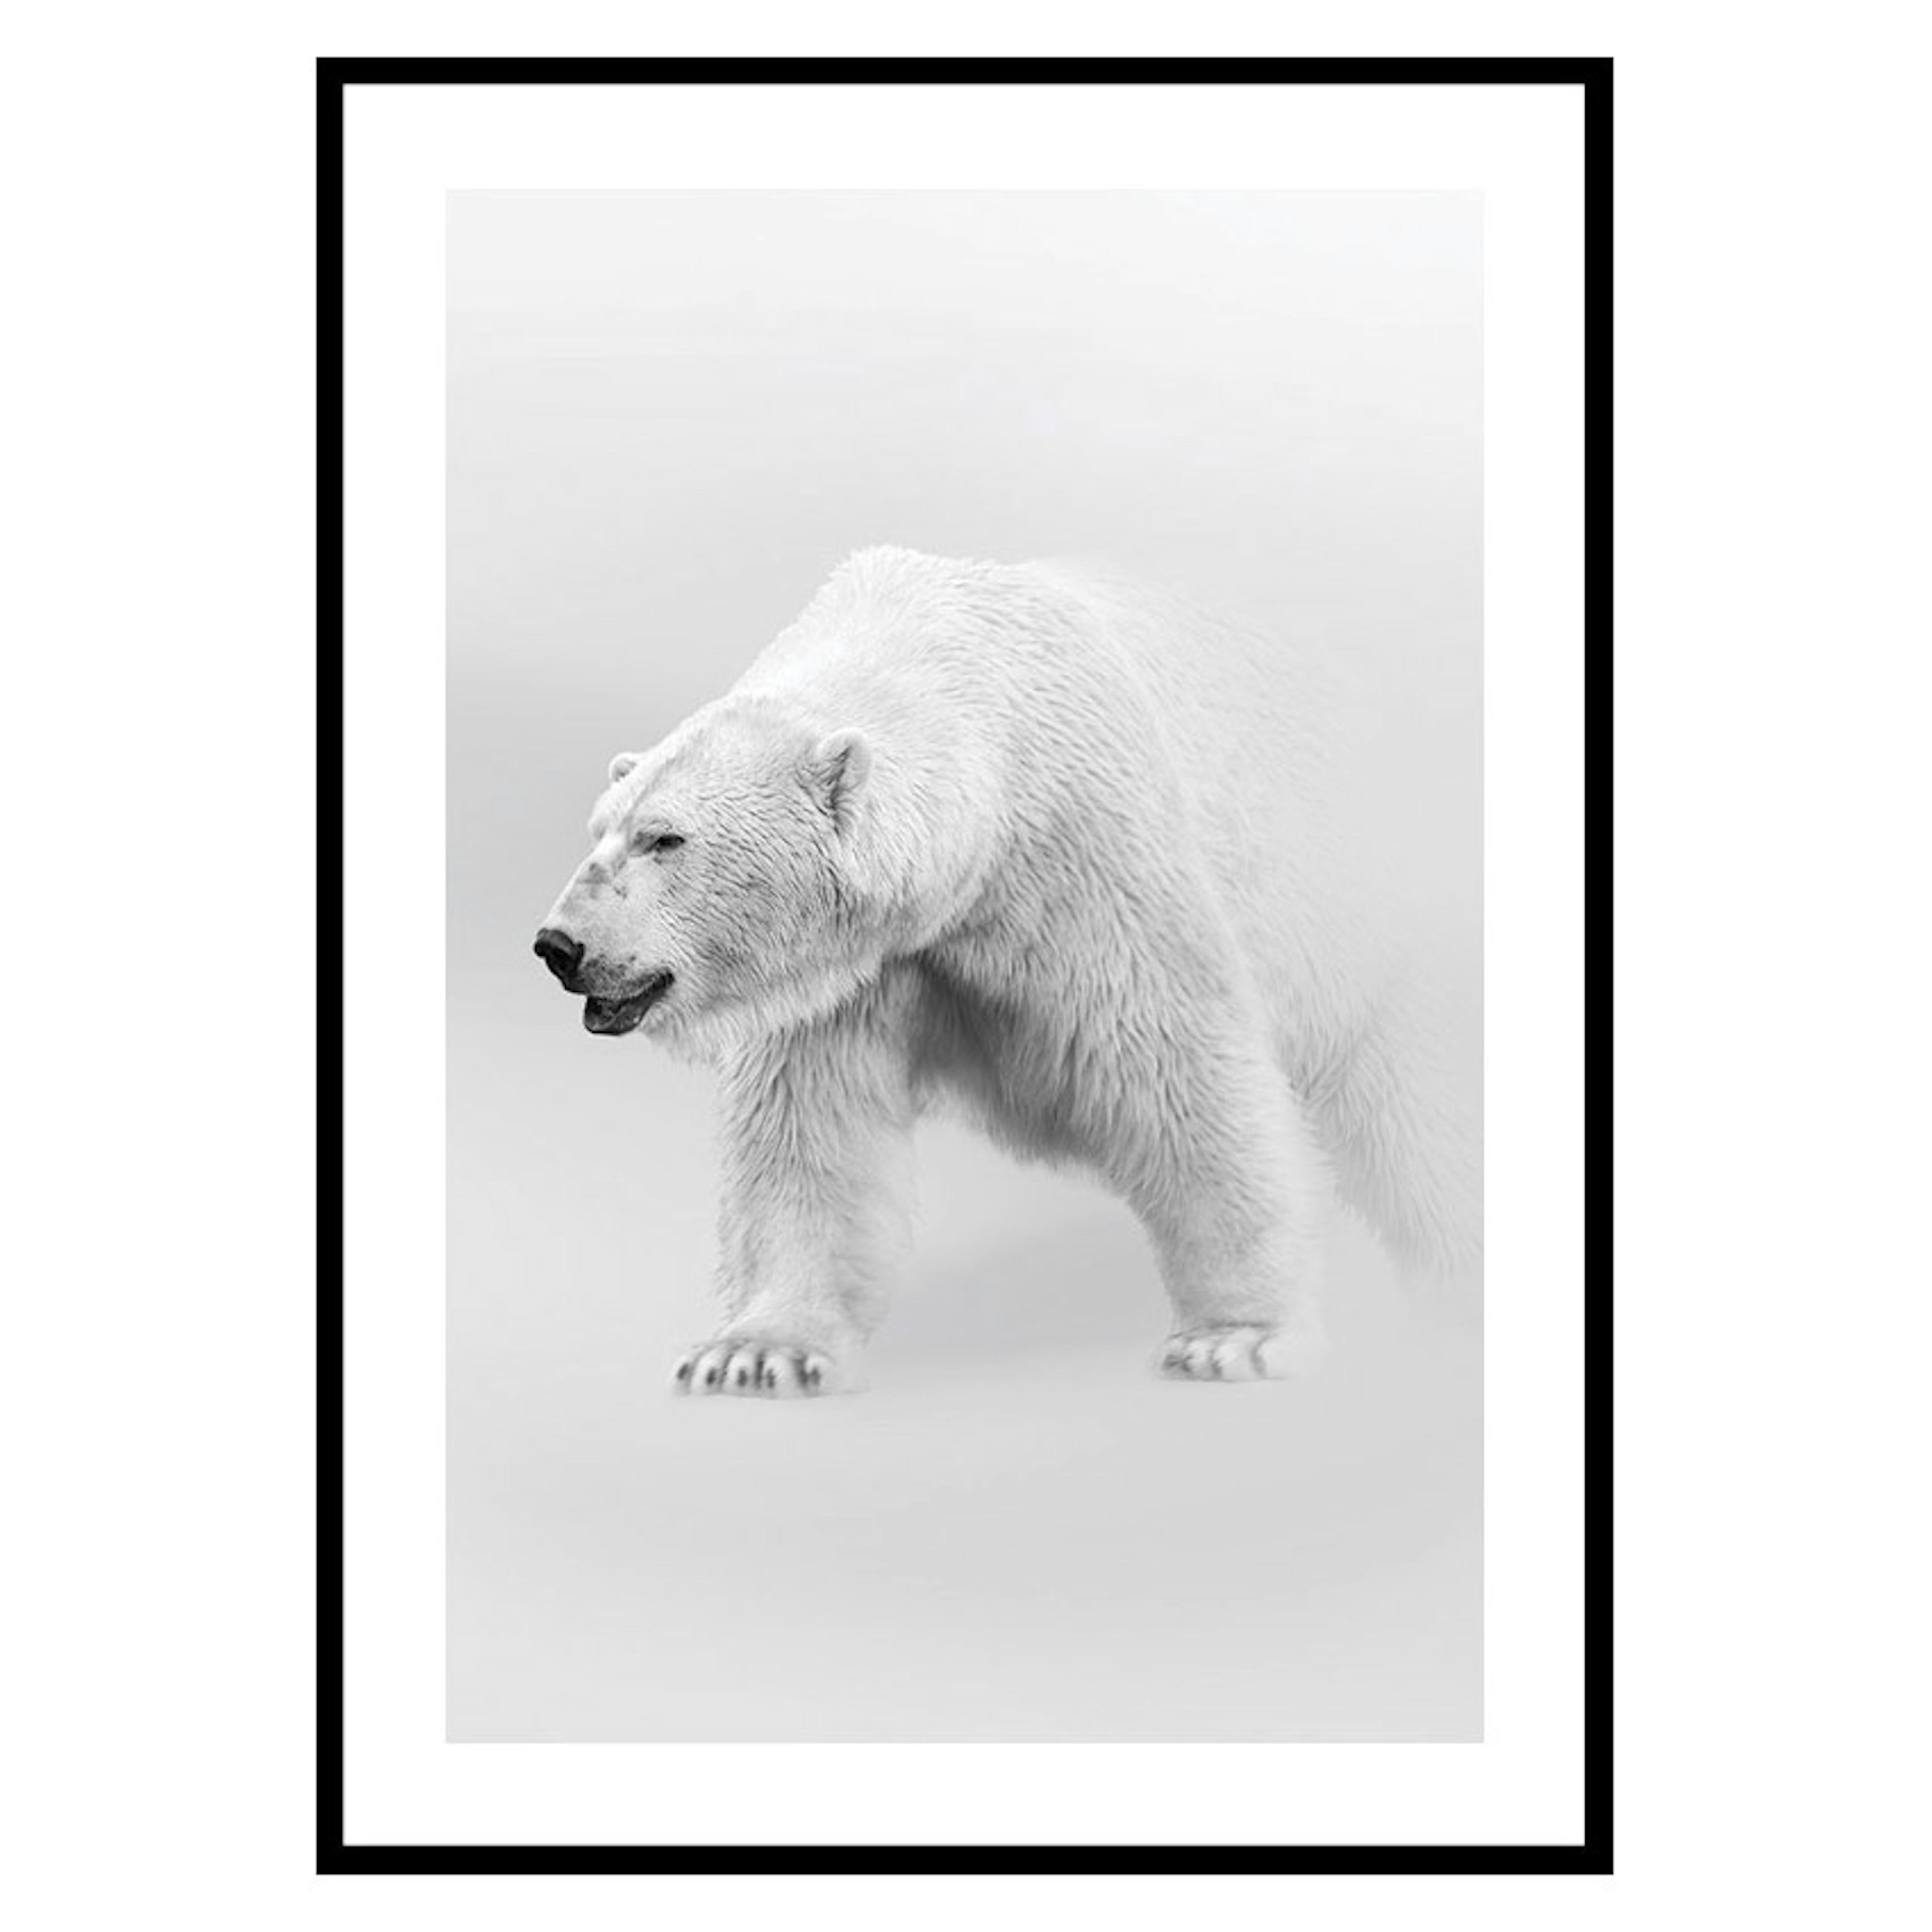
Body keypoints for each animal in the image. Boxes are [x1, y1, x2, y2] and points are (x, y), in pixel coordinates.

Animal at [534, 546, 1479, 1397]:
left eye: (666, 838)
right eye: (599, 829)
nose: (558, 946)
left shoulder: (1088, 860)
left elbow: (1180, 1074)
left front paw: (1237, 1339)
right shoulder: (853, 969)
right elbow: (807, 1130)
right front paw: (756, 1352)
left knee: (1426, 1122)